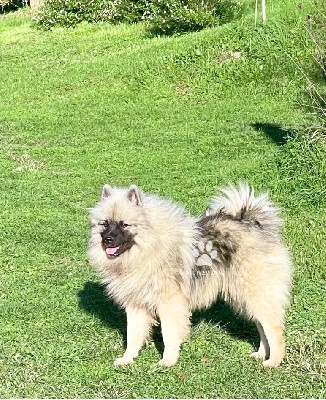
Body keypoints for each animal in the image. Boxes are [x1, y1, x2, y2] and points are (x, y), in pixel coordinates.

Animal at [88, 183, 292, 368]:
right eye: (105, 223)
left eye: (124, 224)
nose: (107, 240)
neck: (148, 248)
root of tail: (254, 224)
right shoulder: (135, 305)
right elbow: (133, 335)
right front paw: (128, 358)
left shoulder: (169, 304)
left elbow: (169, 333)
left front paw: (168, 360)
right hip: (247, 298)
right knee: (262, 327)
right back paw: (262, 354)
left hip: (255, 294)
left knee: (274, 330)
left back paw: (273, 361)